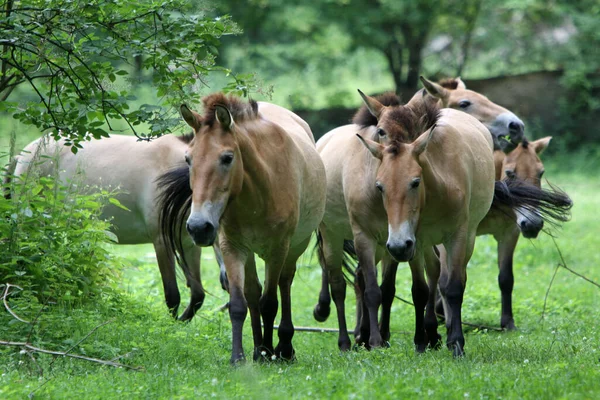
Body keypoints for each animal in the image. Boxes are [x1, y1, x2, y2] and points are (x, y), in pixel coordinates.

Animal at [157, 93, 326, 362]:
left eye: (227, 158)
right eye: (188, 159)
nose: (198, 227)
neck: (258, 193)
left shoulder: (277, 250)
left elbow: (270, 303)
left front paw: (272, 351)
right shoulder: (232, 247)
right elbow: (240, 303)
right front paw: (240, 357)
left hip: (295, 247)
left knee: (284, 284)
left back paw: (284, 347)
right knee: (253, 292)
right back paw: (259, 349)